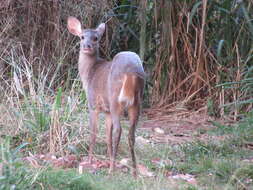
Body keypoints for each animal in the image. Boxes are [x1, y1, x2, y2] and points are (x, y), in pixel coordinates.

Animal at [67, 17, 145, 176]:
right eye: (82, 37)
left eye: (96, 38)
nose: (87, 46)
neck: (89, 74)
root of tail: (132, 71)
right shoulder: (107, 111)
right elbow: (107, 137)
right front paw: (109, 160)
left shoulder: (93, 104)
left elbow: (93, 133)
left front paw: (89, 161)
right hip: (137, 101)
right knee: (131, 134)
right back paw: (134, 172)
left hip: (115, 99)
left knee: (118, 131)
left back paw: (111, 171)